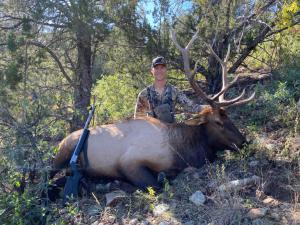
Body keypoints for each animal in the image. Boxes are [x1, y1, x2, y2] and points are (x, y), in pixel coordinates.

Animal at [50, 30, 254, 195]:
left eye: (229, 118)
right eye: (218, 122)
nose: (245, 142)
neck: (181, 151)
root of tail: (60, 142)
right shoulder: (129, 161)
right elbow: (155, 185)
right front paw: (111, 184)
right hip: (62, 154)